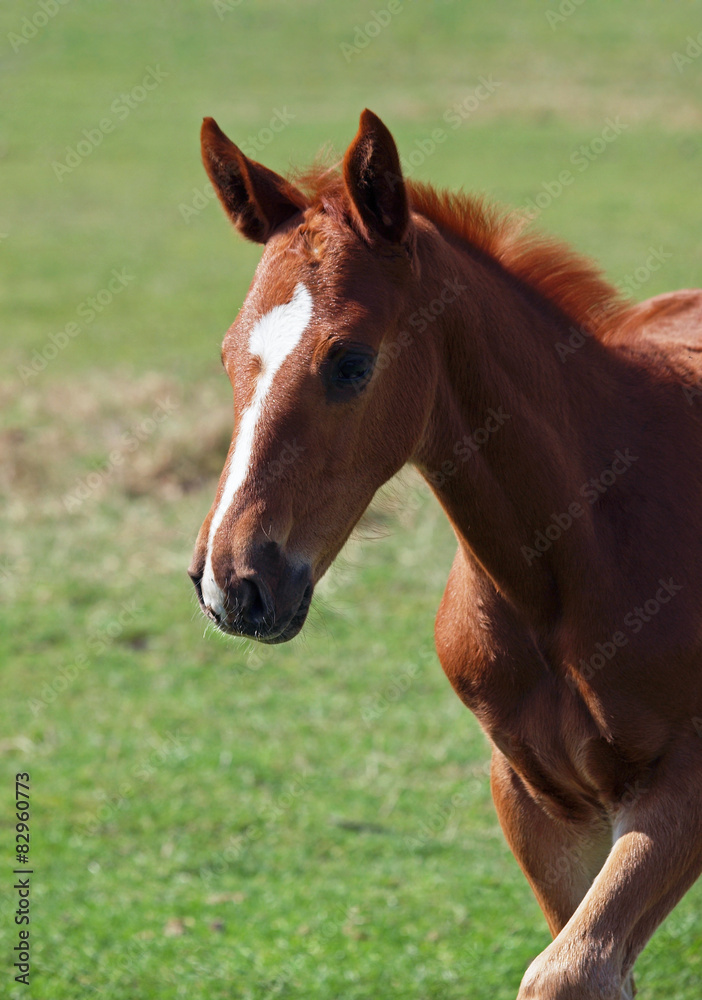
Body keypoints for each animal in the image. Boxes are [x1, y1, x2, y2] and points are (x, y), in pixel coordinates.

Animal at [188, 109, 702, 999]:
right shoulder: (534, 797)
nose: (234, 583)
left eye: (350, 361)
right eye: (227, 353)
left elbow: (571, 971)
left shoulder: (686, 784)